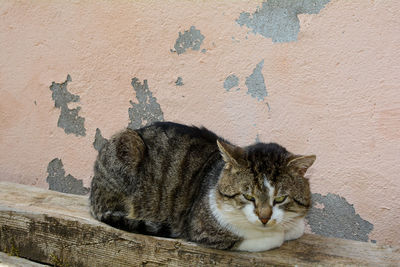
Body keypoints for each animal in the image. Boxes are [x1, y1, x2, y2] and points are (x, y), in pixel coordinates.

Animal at [90, 122, 316, 252]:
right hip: (126, 144)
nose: (264, 218)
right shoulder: (202, 229)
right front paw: (276, 235)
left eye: (280, 199)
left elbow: (296, 228)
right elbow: (264, 239)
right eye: (248, 196)